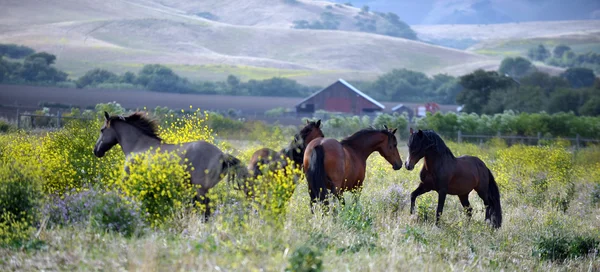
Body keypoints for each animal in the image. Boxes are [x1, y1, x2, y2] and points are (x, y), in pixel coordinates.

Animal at [92, 111, 247, 220]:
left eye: (102, 130)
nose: (96, 151)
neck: (138, 146)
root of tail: (221, 154)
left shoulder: (127, 178)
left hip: (201, 190)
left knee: (206, 212)